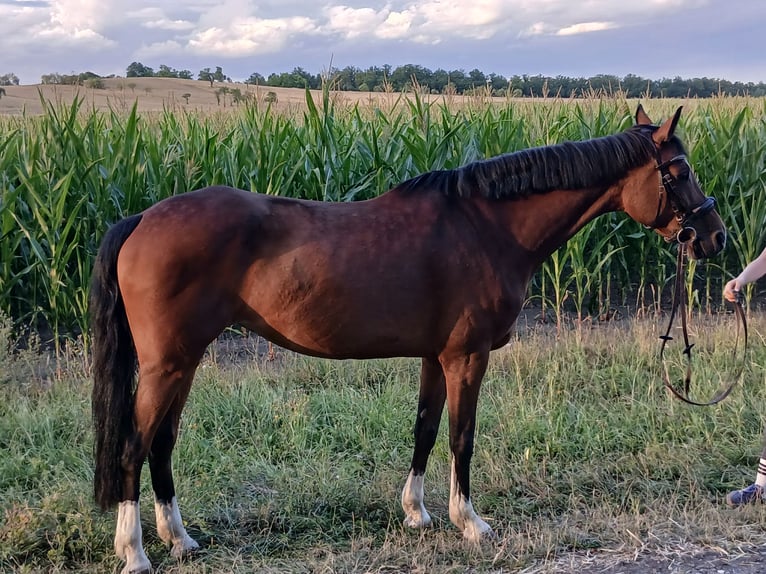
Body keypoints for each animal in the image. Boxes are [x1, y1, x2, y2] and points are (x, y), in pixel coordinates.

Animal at [90, 105, 725, 573]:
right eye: (680, 170)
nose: (715, 237)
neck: (486, 226)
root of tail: (142, 219)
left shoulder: (433, 356)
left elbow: (424, 427)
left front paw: (416, 514)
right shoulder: (467, 357)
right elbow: (462, 436)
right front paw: (470, 523)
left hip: (185, 361)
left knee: (163, 444)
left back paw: (180, 540)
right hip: (168, 364)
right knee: (134, 446)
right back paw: (136, 553)